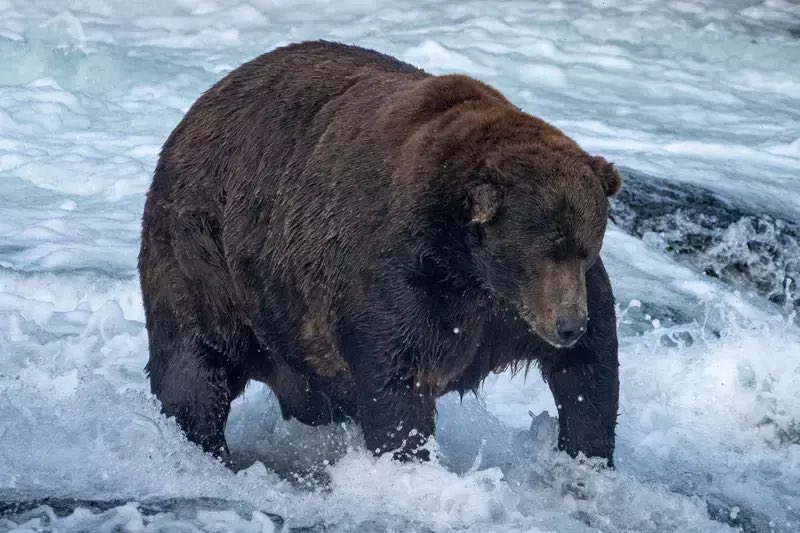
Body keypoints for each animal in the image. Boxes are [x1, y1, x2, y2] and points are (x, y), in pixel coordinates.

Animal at [139, 41, 621, 465]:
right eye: (544, 251)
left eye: (585, 248)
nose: (568, 325)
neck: (472, 269)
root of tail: (197, 108)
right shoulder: (403, 276)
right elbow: (396, 379)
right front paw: (410, 459)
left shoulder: (516, 310)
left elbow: (590, 370)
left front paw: (586, 458)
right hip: (206, 254)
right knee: (195, 360)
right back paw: (206, 446)